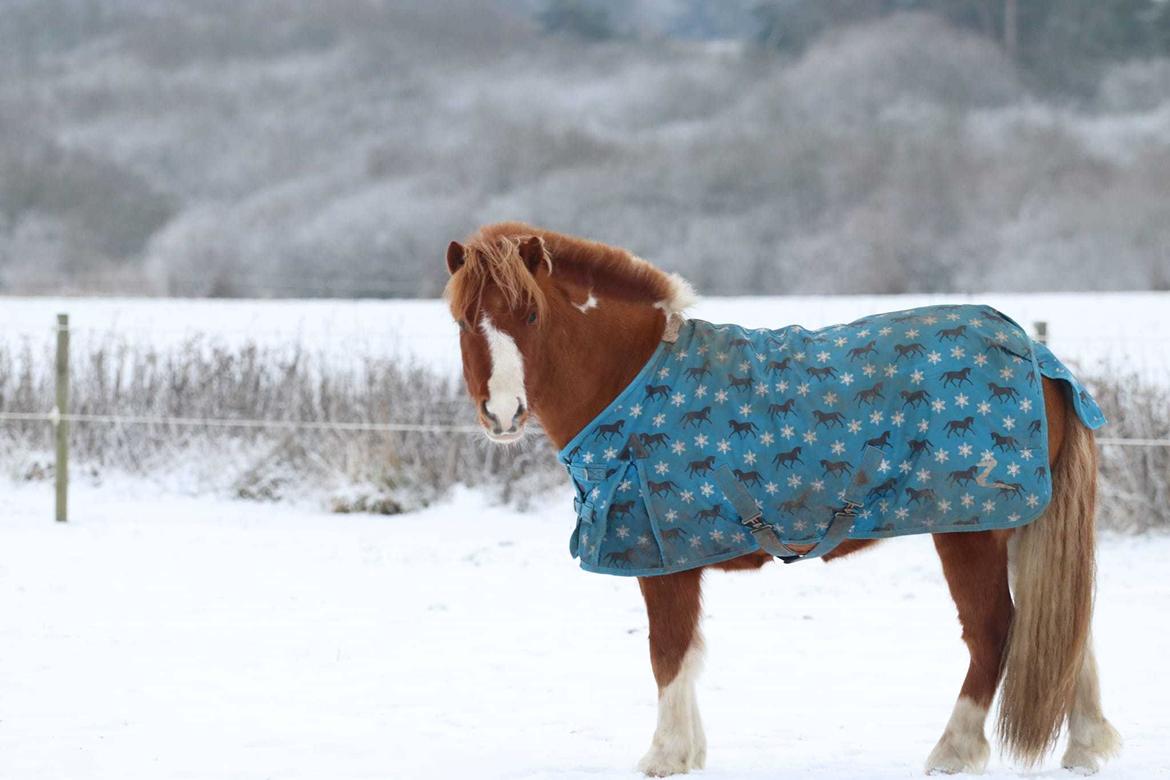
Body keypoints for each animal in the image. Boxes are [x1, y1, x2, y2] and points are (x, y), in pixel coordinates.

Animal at [442, 222, 1118, 776]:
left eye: (531, 316)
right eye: (465, 321)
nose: (502, 414)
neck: (634, 381)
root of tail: (1036, 353)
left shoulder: (662, 561)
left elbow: (667, 653)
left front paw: (666, 756)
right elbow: (687, 653)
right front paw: (689, 751)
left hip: (971, 532)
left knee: (993, 630)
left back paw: (954, 751)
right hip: (1023, 525)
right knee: (1066, 630)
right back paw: (1085, 747)